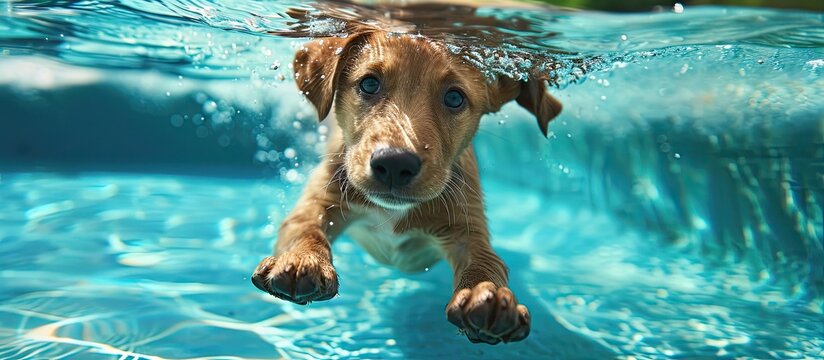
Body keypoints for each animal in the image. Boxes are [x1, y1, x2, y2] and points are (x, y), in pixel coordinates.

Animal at [249, 29, 560, 344]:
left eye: (455, 98)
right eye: (369, 83)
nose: (395, 164)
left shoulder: (467, 226)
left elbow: (484, 261)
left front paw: (487, 294)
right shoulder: (322, 198)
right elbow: (305, 229)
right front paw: (302, 260)